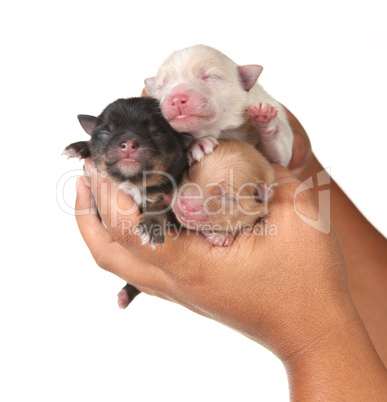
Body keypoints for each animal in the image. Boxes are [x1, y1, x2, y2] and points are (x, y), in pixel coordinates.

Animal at [64, 97, 193, 308]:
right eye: (106, 132)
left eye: (157, 132)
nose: (129, 143)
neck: (133, 183)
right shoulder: (93, 184)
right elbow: (88, 170)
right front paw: (80, 146)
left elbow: (162, 208)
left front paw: (151, 226)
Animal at [146, 45, 294, 166]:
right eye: (161, 86)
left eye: (210, 77)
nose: (177, 99)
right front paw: (199, 144)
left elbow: (279, 158)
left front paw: (265, 117)